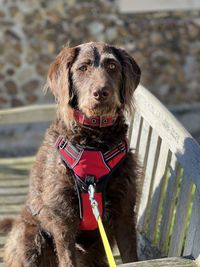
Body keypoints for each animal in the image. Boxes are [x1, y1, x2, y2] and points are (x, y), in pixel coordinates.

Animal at [2, 42, 141, 267]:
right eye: (82, 68)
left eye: (112, 66)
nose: (101, 92)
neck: (94, 142)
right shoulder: (63, 218)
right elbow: (67, 258)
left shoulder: (124, 210)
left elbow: (130, 255)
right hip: (30, 236)